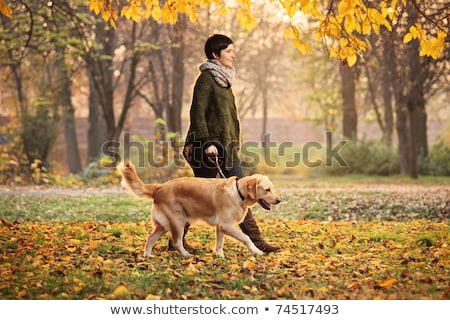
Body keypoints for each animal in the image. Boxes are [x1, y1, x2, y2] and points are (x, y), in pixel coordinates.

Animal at [118, 161, 282, 258]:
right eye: (267, 190)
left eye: (272, 188)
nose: (278, 200)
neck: (238, 193)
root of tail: (159, 187)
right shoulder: (226, 225)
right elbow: (246, 237)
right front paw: (256, 251)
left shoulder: (221, 227)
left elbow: (219, 243)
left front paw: (220, 256)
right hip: (178, 221)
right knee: (176, 242)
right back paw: (186, 255)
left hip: (164, 224)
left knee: (150, 238)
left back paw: (148, 256)